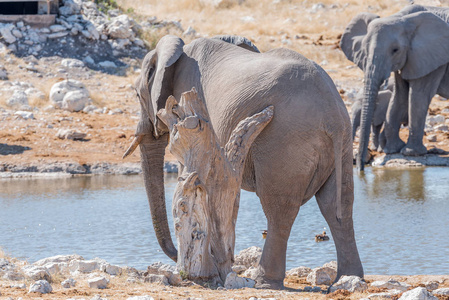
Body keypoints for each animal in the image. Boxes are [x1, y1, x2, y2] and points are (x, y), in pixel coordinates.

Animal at [124, 34, 362, 290]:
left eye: (137, 95)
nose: (177, 255)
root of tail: (332, 114)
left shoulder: (188, 115)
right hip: (343, 142)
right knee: (338, 206)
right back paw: (347, 278)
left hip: (284, 143)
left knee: (279, 208)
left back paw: (265, 282)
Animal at [338, 4, 448, 170]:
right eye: (364, 50)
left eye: (395, 50)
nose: (360, 168)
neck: (402, 18)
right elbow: (399, 97)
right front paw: (393, 150)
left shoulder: (434, 56)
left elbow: (418, 96)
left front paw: (412, 153)